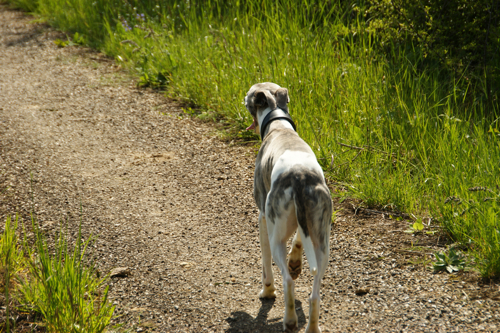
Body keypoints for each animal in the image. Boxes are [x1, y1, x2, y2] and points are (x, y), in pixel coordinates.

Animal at [245, 81, 332, 330]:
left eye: (249, 94)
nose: (243, 97)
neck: (279, 127)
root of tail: (299, 177)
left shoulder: (263, 217)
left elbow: (265, 264)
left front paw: (267, 291)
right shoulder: (306, 228)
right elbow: (300, 240)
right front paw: (295, 262)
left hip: (277, 237)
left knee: (287, 281)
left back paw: (290, 320)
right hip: (322, 242)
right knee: (314, 295)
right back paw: (312, 328)